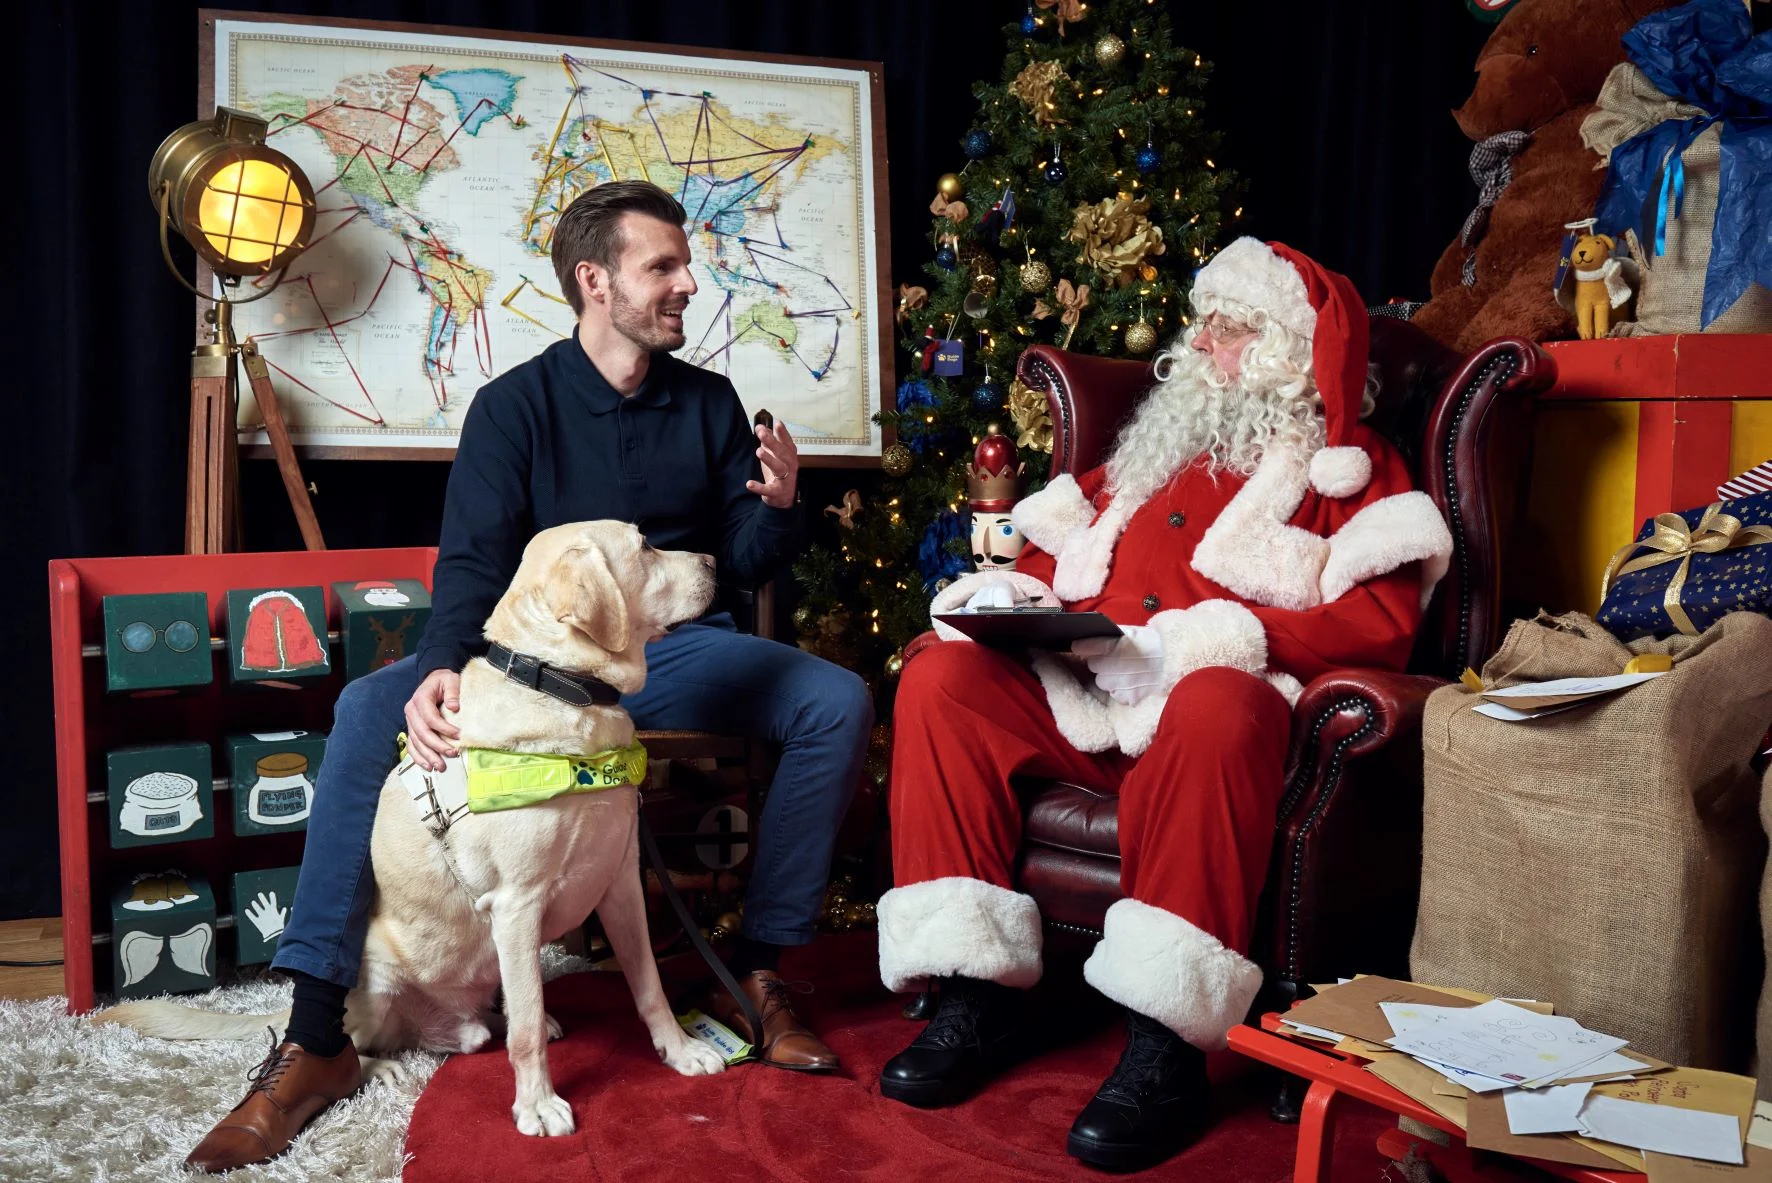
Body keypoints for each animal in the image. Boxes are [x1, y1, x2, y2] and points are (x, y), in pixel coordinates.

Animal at [100, 524, 726, 1133]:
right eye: (646, 546)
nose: (714, 561)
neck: (561, 689)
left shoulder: (620, 881)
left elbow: (648, 983)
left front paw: (680, 1051)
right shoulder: (517, 903)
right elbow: (525, 1033)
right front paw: (537, 1105)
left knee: (505, 1008)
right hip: (377, 981)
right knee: (355, 1045)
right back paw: (378, 1068)